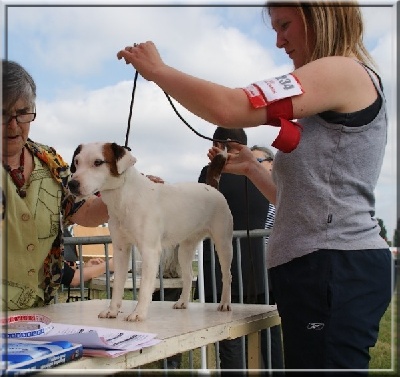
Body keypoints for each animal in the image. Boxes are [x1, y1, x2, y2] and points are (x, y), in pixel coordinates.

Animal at [67, 141, 233, 320]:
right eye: (76, 162)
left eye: (98, 162)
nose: (71, 184)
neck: (124, 197)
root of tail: (212, 188)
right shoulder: (120, 250)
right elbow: (117, 284)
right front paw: (112, 310)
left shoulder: (150, 251)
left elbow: (145, 287)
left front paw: (138, 313)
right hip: (185, 249)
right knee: (188, 275)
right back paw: (183, 302)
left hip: (223, 244)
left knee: (227, 275)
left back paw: (225, 303)